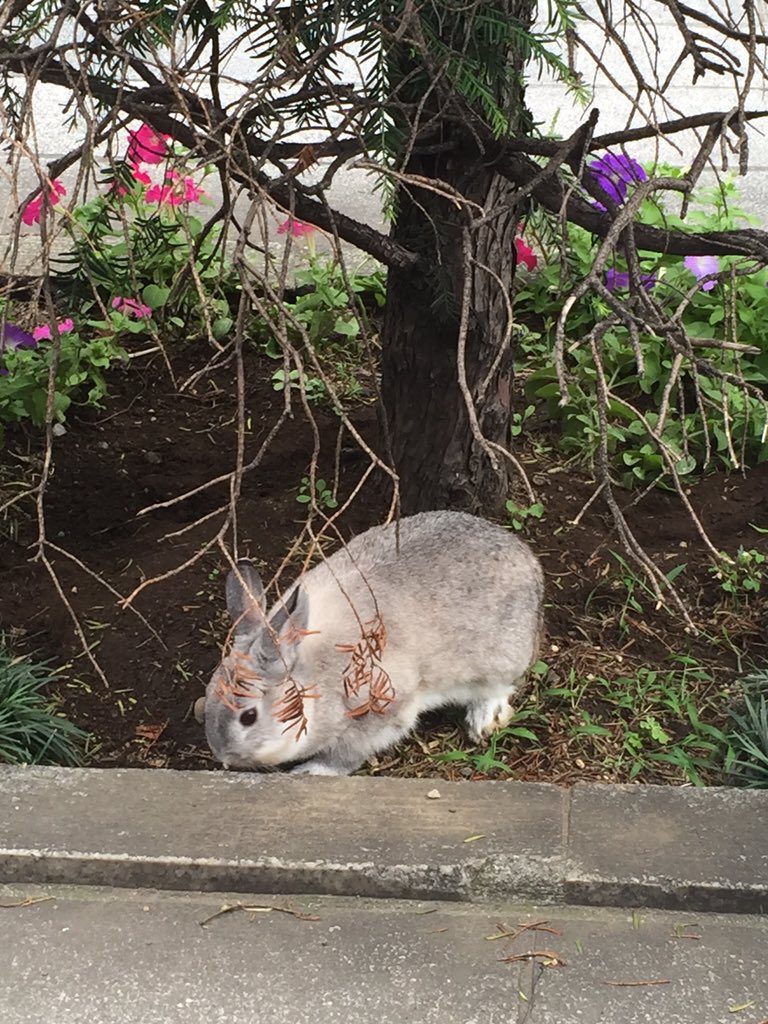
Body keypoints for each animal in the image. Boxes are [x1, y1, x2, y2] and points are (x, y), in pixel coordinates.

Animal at [201, 512, 544, 774]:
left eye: (248, 716)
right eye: (208, 697)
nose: (223, 756)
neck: (312, 675)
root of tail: (528, 560)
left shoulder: (382, 712)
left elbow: (346, 755)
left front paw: (311, 771)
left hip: (500, 659)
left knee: (498, 688)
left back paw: (483, 721)